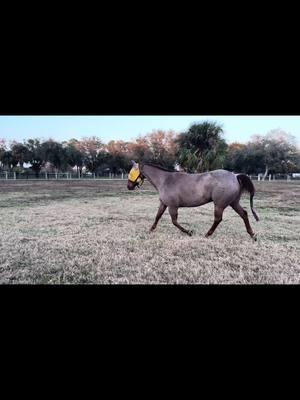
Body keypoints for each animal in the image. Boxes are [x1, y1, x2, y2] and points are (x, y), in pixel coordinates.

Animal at [127, 160, 258, 241]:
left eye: (131, 173)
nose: (129, 186)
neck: (165, 180)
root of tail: (235, 176)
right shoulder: (164, 204)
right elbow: (157, 216)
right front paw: (150, 230)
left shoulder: (172, 206)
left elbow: (174, 221)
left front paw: (189, 232)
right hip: (233, 202)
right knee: (244, 214)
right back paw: (252, 235)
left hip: (219, 205)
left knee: (218, 219)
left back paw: (207, 234)